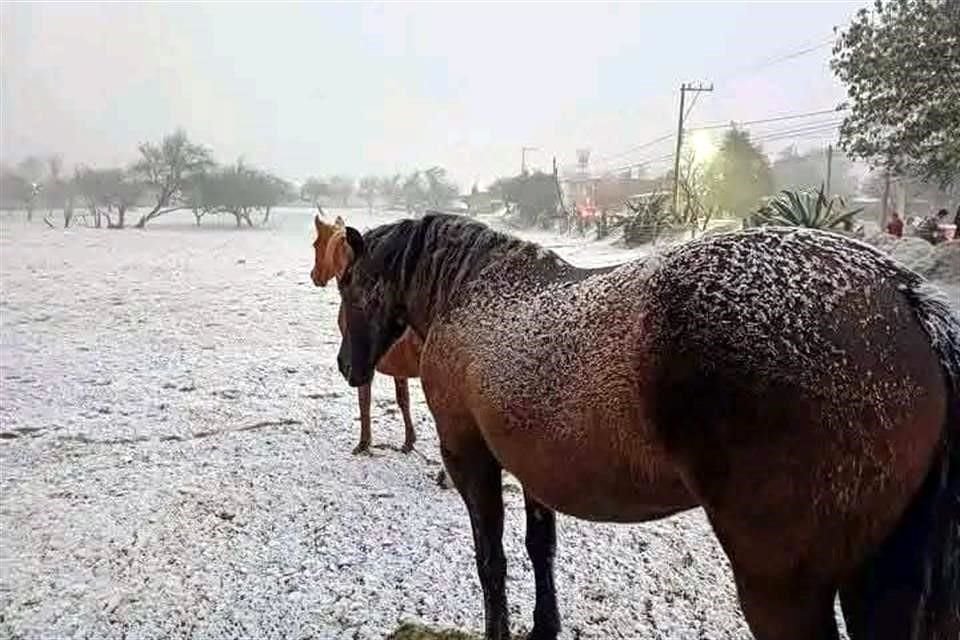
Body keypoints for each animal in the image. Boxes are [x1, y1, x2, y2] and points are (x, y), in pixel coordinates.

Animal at [312, 216, 424, 456]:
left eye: (315, 245)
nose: (314, 276)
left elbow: (365, 402)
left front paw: (364, 443)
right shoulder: (398, 370)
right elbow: (403, 401)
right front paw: (409, 442)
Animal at [336, 214, 960, 640]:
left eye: (346, 285)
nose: (348, 366)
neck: (473, 295)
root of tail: (903, 298)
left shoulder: (471, 459)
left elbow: (492, 561)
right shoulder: (533, 471)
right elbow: (541, 550)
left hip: (784, 588)